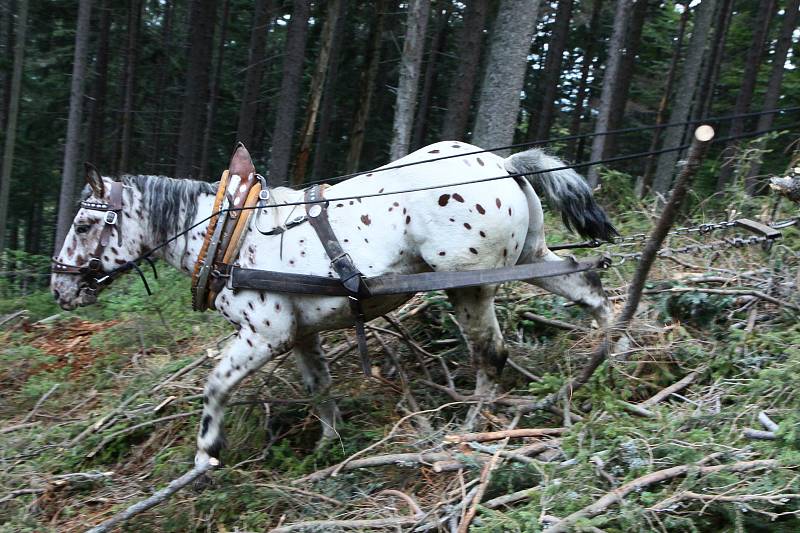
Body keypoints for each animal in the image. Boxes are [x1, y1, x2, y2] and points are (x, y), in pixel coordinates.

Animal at [53, 140, 620, 466]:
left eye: (84, 224)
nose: (60, 288)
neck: (226, 236)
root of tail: (502, 163)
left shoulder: (264, 335)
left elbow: (215, 385)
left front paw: (207, 453)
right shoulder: (301, 334)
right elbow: (318, 387)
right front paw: (330, 445)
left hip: (470, 286)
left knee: (491, 355)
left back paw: (468, 431)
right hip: (532, 257)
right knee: (590, 289)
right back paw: (607, 358)